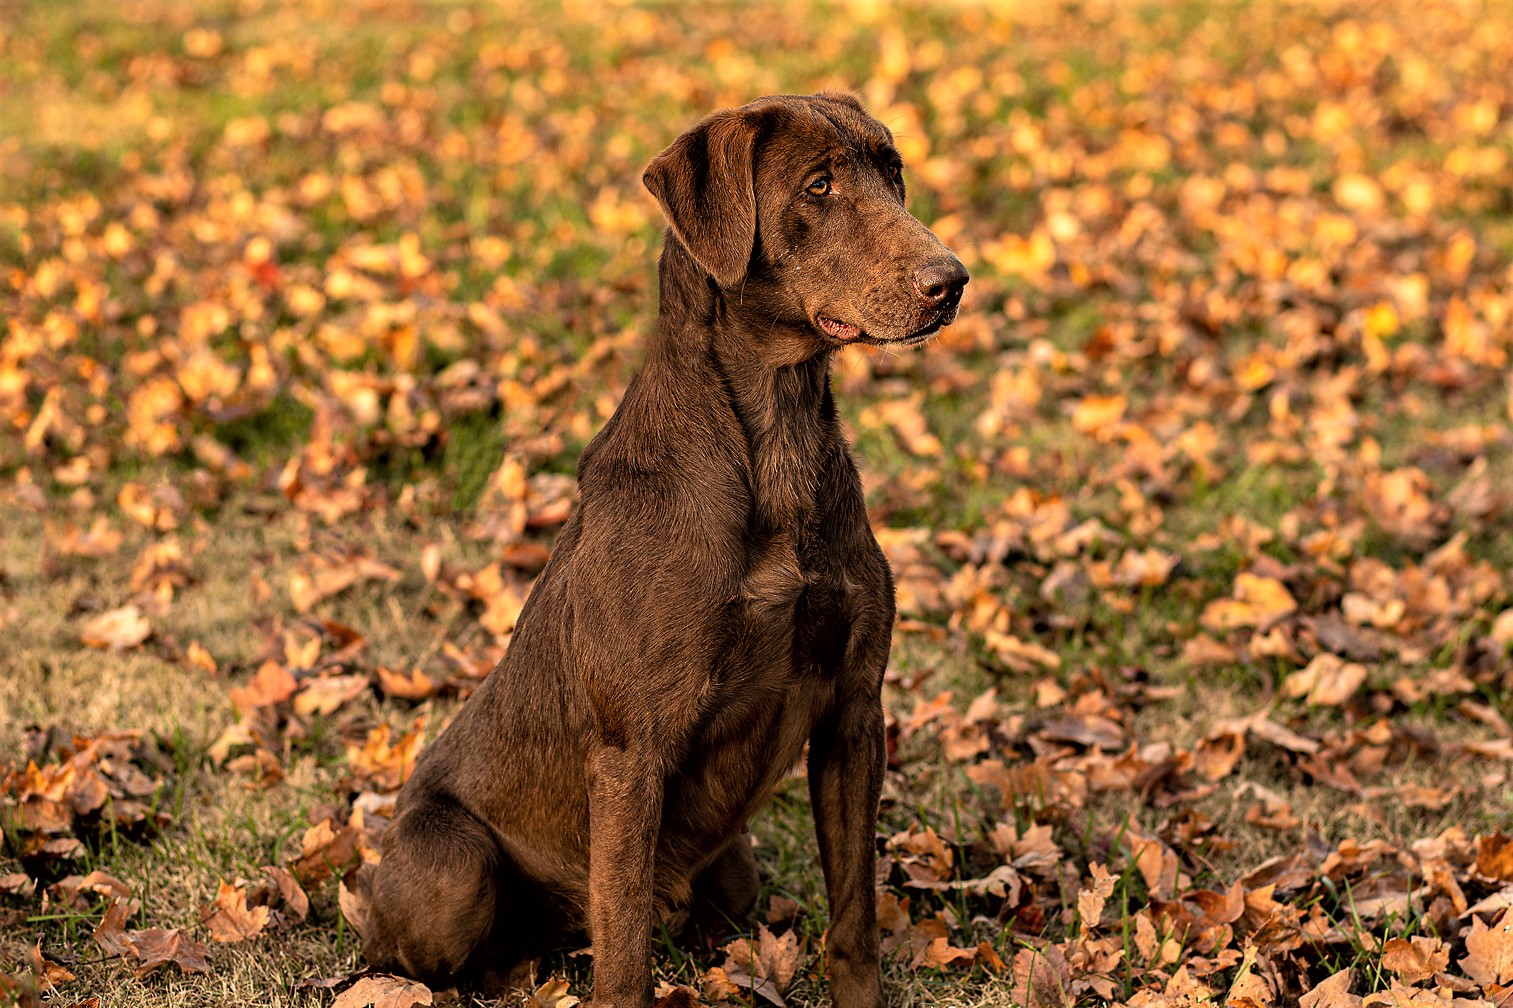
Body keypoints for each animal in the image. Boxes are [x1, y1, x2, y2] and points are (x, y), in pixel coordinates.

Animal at [360, 94, 962, 1004]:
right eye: (818, 186)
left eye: (891, 172)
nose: (951, 279)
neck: (775, 446)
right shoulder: (630, 753)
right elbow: (624, 958)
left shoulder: (856, 711)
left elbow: (854, 914)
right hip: (448, 868)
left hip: (732, 864)